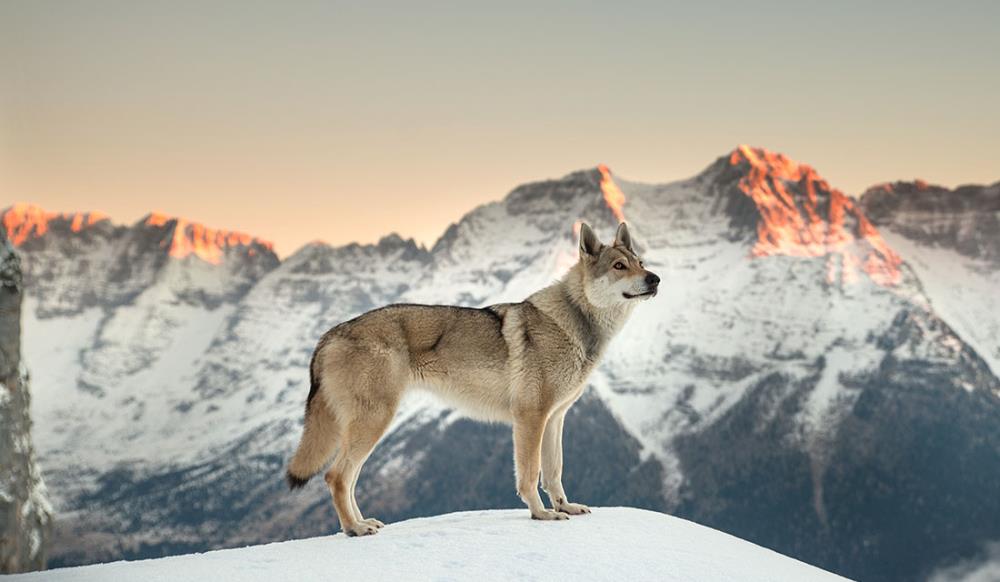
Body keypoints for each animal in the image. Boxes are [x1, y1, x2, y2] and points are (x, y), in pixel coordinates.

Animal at [288, 224, 656, 540]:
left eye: (640, 262)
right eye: (620, 266)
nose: (656, 279)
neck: (575, 325)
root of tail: (328, 336)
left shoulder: (555, 419)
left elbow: (554, 472)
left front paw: (565, 507)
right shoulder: (530, 418)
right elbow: (530, 475)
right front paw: (542, 515)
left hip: (370, 428)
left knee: (348, 480)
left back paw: (362, 523)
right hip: (374, 423)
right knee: (336, 476)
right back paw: (355, 529)